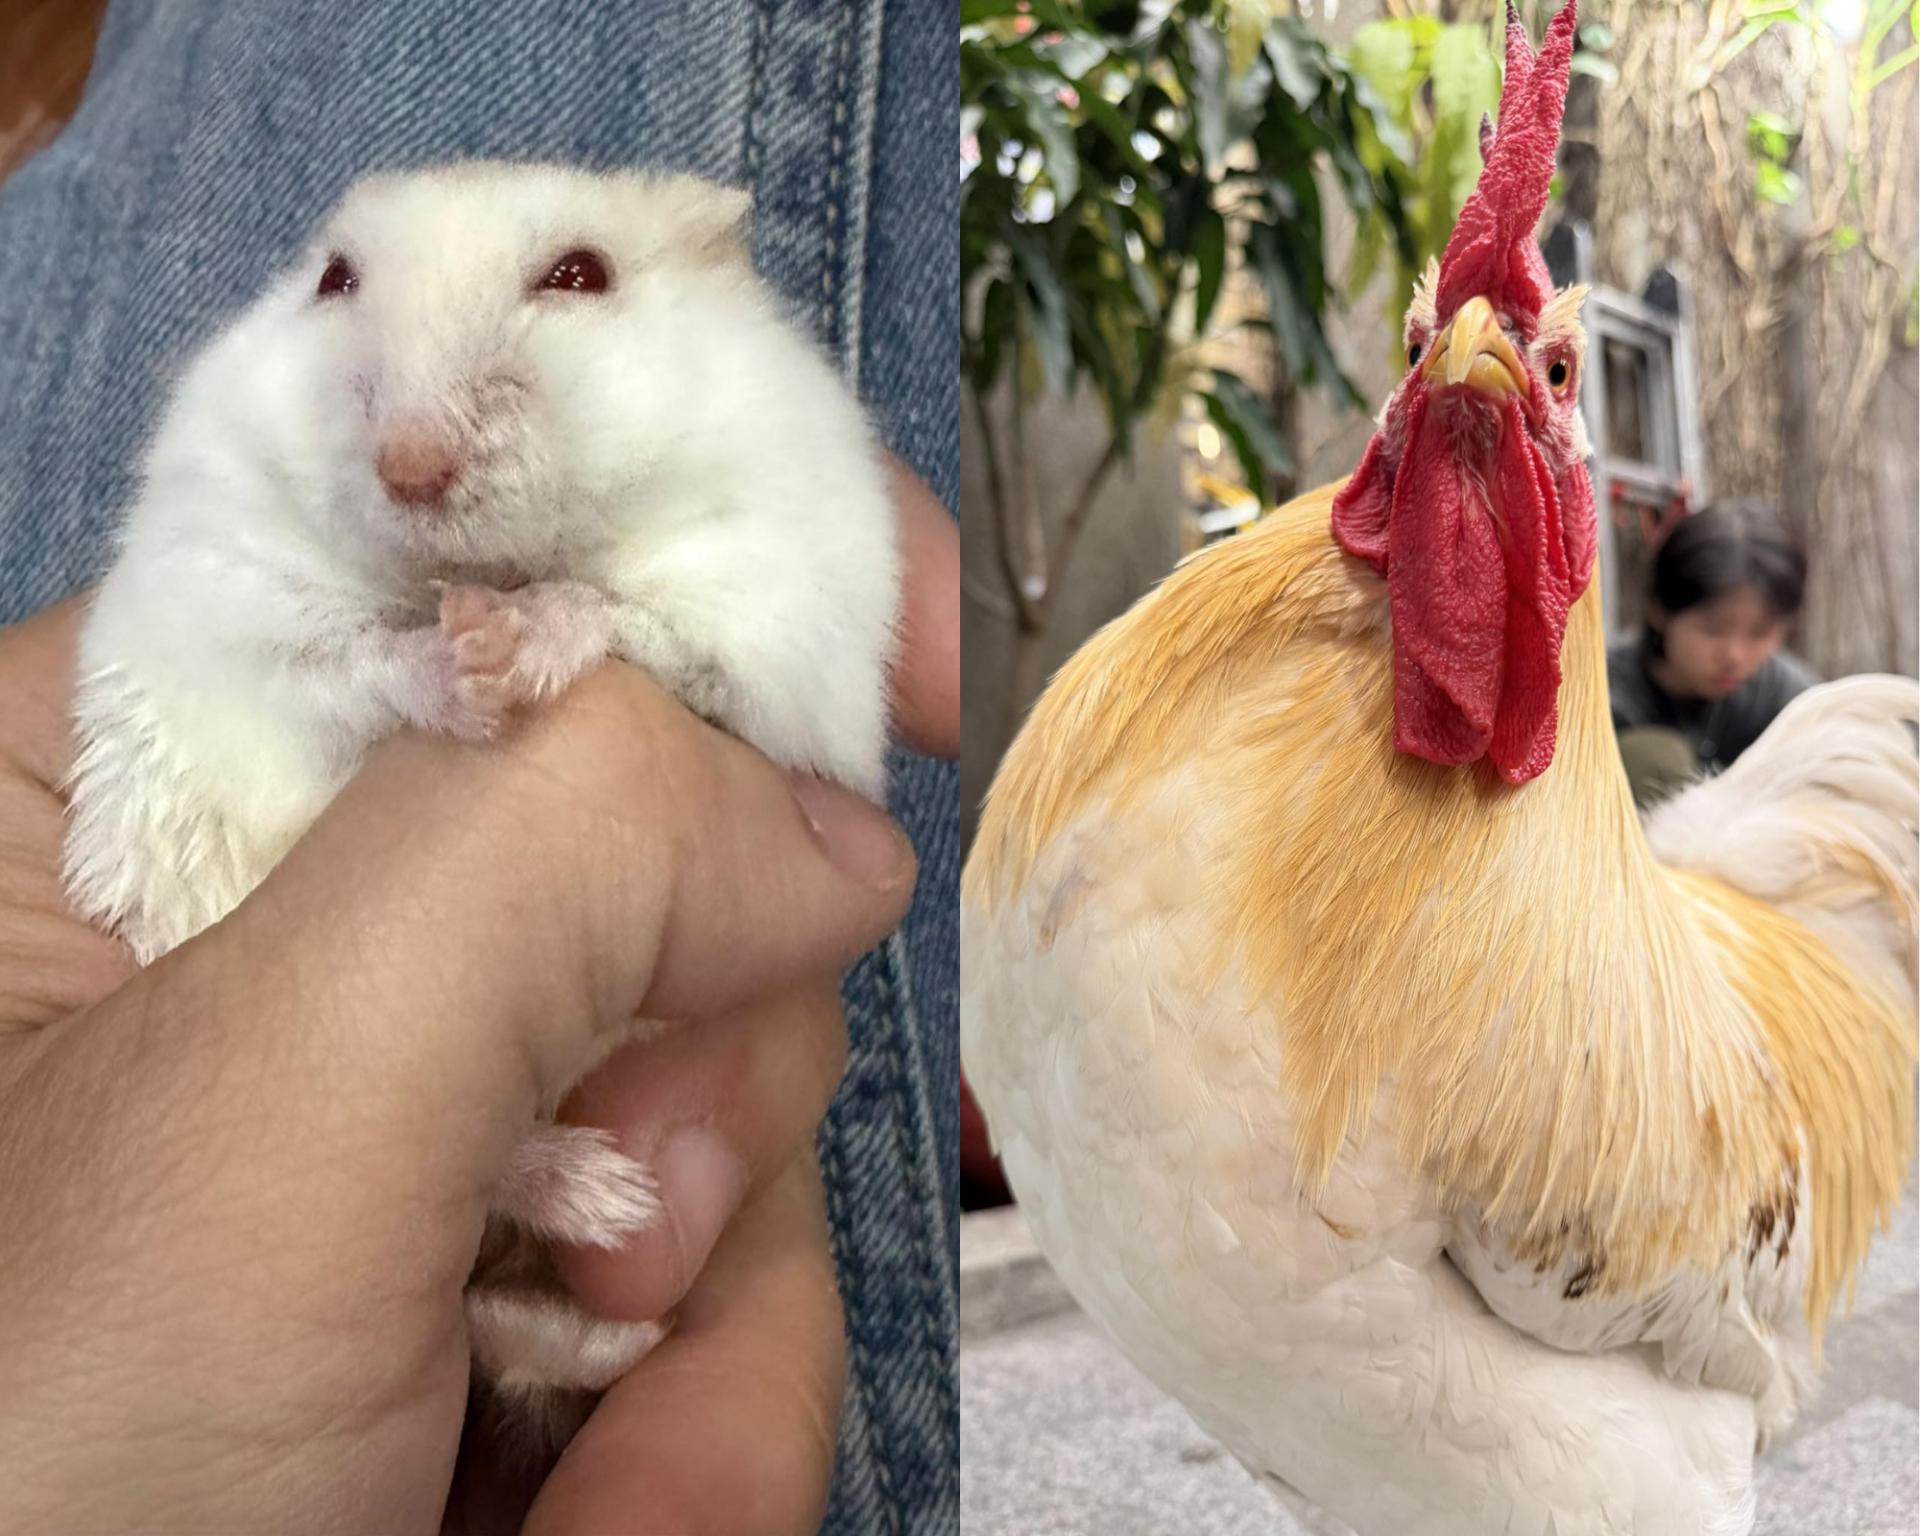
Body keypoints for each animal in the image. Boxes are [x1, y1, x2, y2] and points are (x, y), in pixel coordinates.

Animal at [60, 161, 901, 1468]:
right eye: (334, 279)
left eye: (579, 275)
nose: (409, 468)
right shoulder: (235, 609)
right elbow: (357, 662)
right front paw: (464, 658)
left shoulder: (778, 620)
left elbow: (630, 619)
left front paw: (511, 642)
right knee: (494, 1187)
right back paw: (609, 1203)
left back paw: (619, 1279)